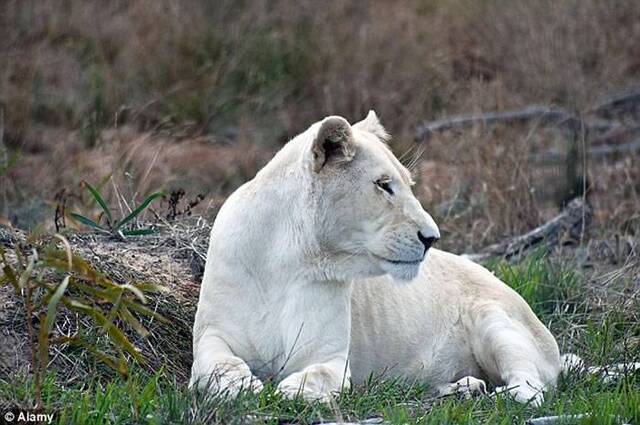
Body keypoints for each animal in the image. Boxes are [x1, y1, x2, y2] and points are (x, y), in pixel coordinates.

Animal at [191, 111, 564, 406]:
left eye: (409, 184)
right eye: (384, 185)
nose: (432, 238)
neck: (286, 258)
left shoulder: (332, 358)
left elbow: (317, 376)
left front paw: (288, 390)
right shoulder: (213, 333)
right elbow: (216, 366)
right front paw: (243, 386)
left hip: (495, 320)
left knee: (533, 389)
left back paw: (501, 395)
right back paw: (461, 388)